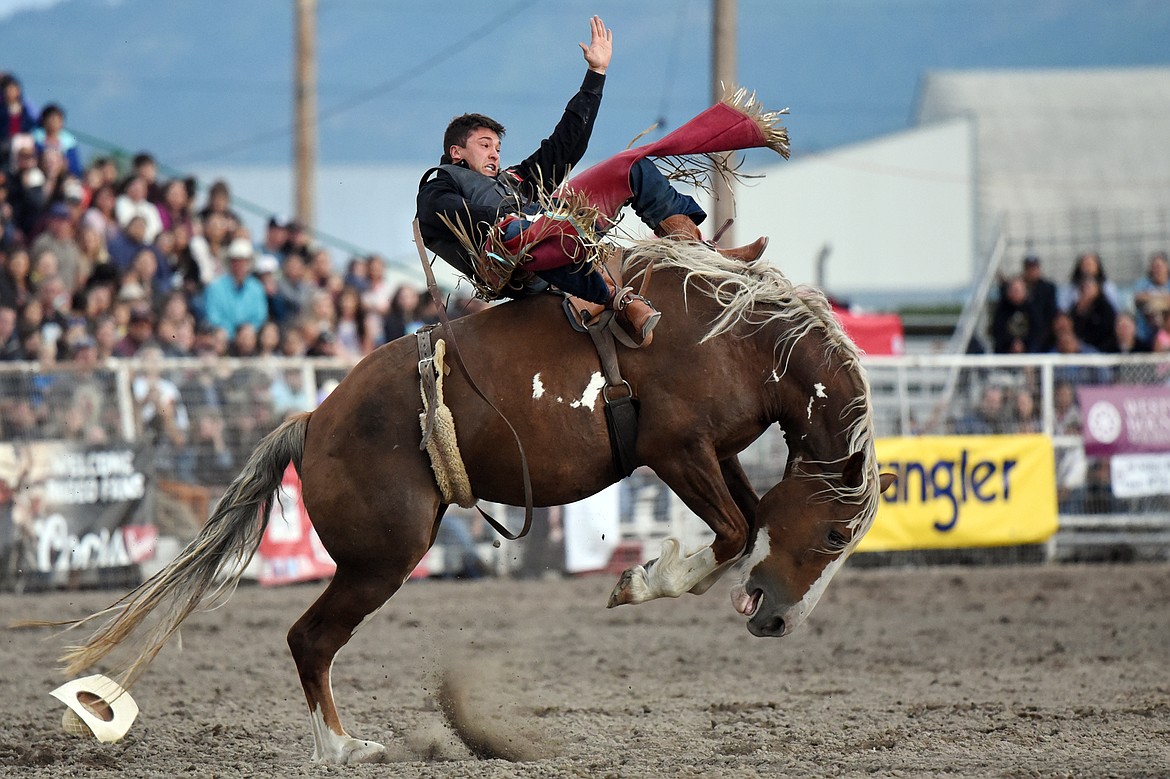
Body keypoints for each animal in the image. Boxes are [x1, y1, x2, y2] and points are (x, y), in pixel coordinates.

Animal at [59, 239, 889, 762]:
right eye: (834, 532)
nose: (779, 622)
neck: (740, 337)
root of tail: (314, 419)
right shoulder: (676, 448)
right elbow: (731, 531)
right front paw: (637, 578)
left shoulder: (717, 453)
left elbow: (748, 519)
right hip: (382, 559)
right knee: (310, 638)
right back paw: (342, 747)